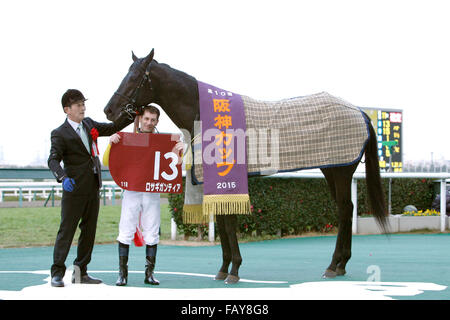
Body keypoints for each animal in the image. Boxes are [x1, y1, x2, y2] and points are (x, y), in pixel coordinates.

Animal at [103, 48, 388, 284]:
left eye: (136, 78)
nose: (109, 110)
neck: (205, 115)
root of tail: (359, 112)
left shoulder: (230, 180)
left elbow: (229, 223)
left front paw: (234, 270)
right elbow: (221, 220)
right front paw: (223, 268)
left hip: (341, 170)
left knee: (345, 209)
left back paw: (333, 266)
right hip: (331, 168)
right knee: (345, 208)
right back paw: (339, 265)